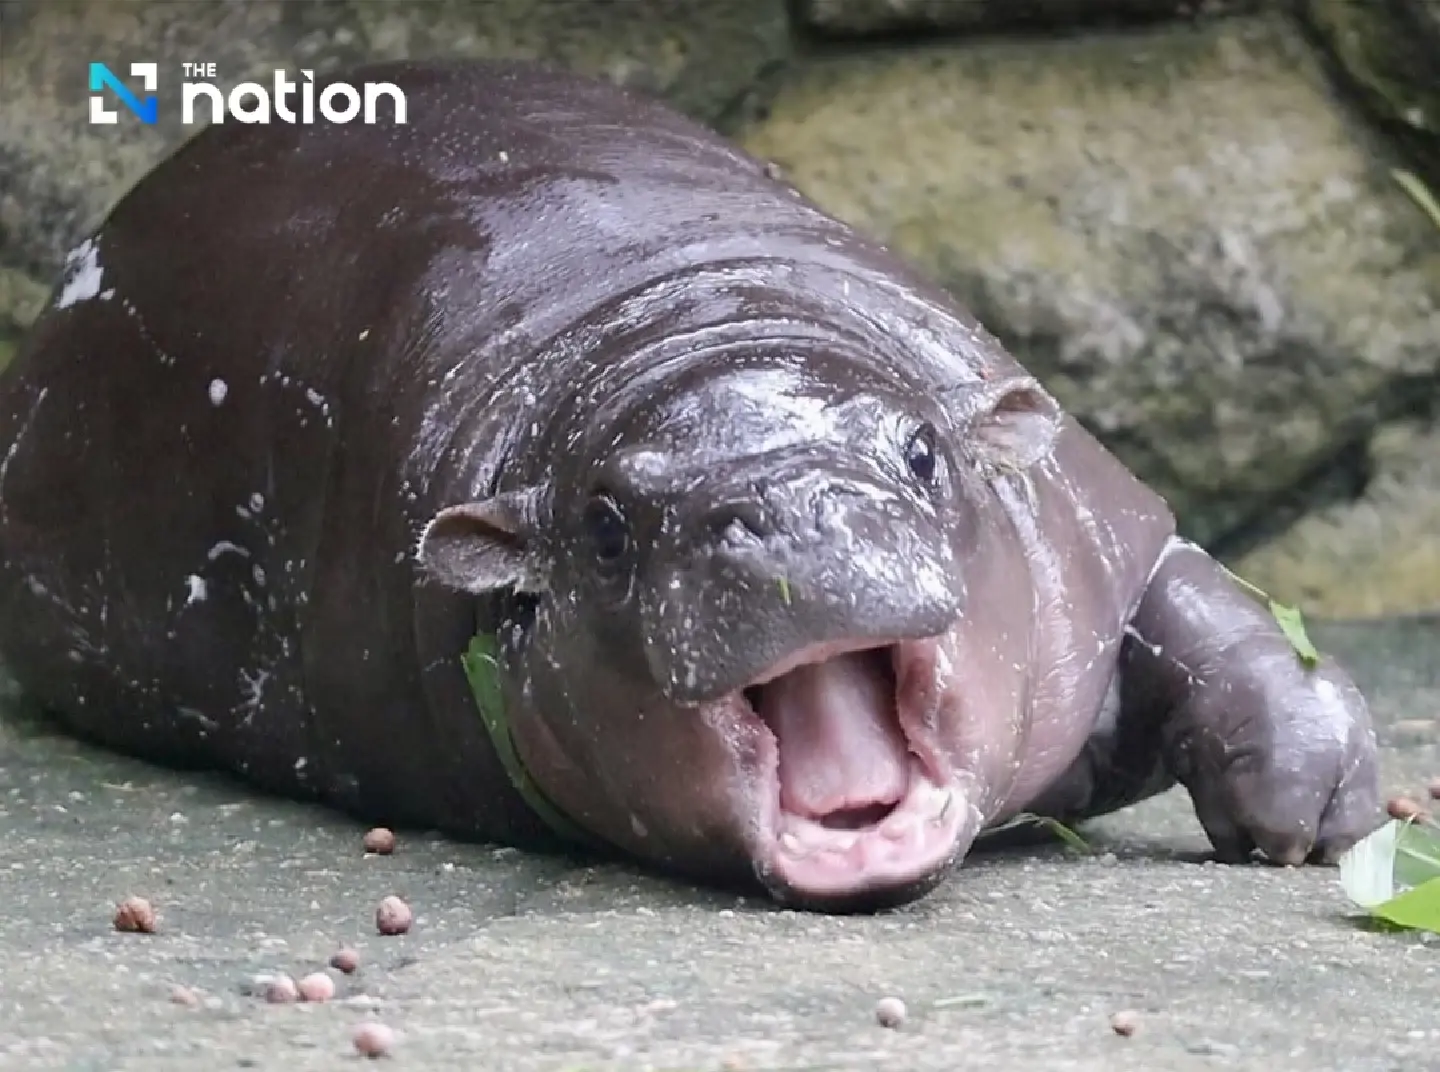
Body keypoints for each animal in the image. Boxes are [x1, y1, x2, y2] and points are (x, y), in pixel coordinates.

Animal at [0, 59, 1379, 912]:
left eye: (922, 450)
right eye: (607, 528)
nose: (785, 517)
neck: (703, 328)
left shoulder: (1090, 511)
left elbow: (1218, 612)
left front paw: (1309, 813)